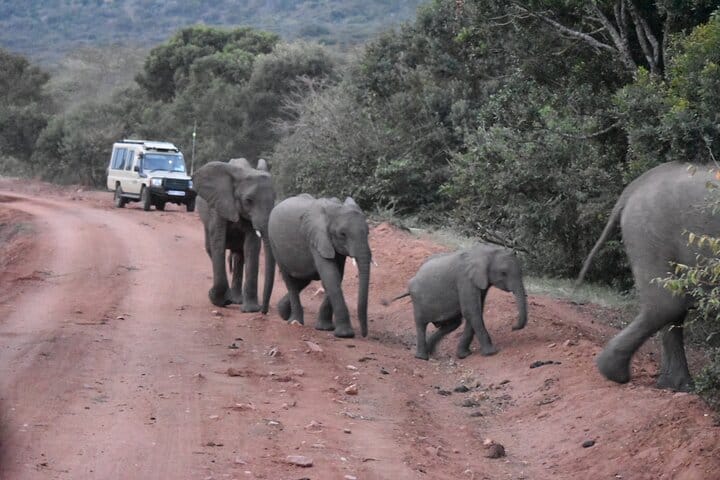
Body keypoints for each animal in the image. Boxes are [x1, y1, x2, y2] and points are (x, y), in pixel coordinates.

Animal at [193, 158, 276, 312]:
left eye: (275, 199)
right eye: (248, 200)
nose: (263, 310)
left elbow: (252, 247)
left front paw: (250, 310)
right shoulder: (218, 205)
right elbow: (218, 242)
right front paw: (218, 300)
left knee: (239, 255)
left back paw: (236, 300)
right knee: (211, 249)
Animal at [268, 194, 371, 338]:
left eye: (368, 233)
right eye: (342, 234)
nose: (364, 334)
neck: (334, 209)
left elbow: (337, 276)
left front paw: (324, 329)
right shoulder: (316, 238)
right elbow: (330, 275)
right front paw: (344, 335)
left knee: (303, 279)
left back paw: (283, 313)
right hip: (274, 245)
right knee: (290, 282)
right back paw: (294, 322)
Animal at [387, 243, 528, 360]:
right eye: (503, 273)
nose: (513, 327)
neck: (485, 252)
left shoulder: (478, 282)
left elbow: (475, 311)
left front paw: (463, 355)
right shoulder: (465, 280)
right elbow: (471, 311)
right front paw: (492, 353)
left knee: (452, 324)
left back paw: (431, 351)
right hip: (418, 301)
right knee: (421, 324)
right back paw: (422, 357)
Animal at [577, 161, 720, 391]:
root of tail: (631, 189)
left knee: (672, 306)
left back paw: (675, 386)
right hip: (650, 233)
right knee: (668, 304)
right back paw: (615, 374)